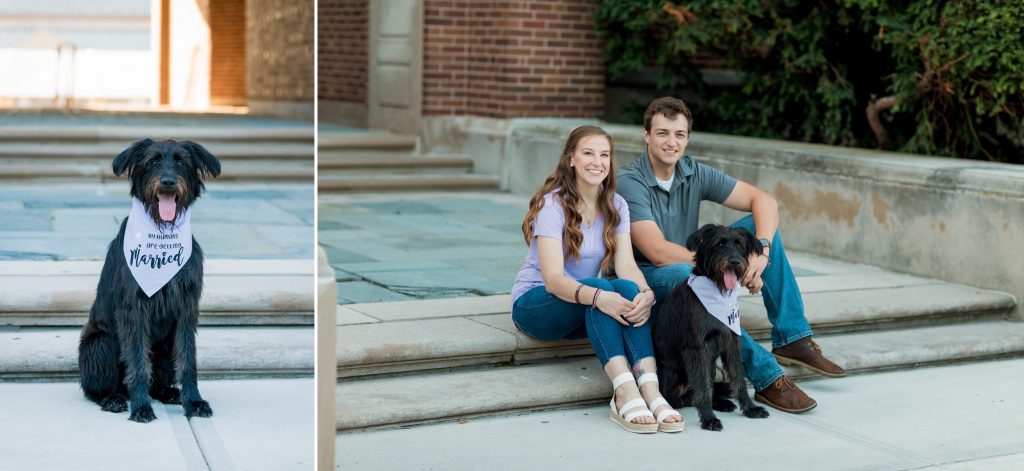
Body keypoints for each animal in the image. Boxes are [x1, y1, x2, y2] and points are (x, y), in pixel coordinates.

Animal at [77, 138, 220, 421]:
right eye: (153, 161)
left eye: (181, 162)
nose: (168, 182)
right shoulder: (134, 310)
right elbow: (138, 362)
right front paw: (141, 406)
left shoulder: (187, 308)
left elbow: (187, 360)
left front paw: (193, 401)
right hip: (100, 344)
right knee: (95, 390)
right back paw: (114, 399)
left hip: (163, 347)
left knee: (159, 381)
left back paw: (169, 392)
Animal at [655, 224, 770, 430]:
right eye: (719, 244)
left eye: (739, 245)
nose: (734, 262)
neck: (718, 293)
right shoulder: (696, 348)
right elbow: (702, 387)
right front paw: (709, 418)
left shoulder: (731, 343)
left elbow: (738, 379)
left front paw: (750, 408)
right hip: (671, 372)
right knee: (677, 397)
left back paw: (721, 403)